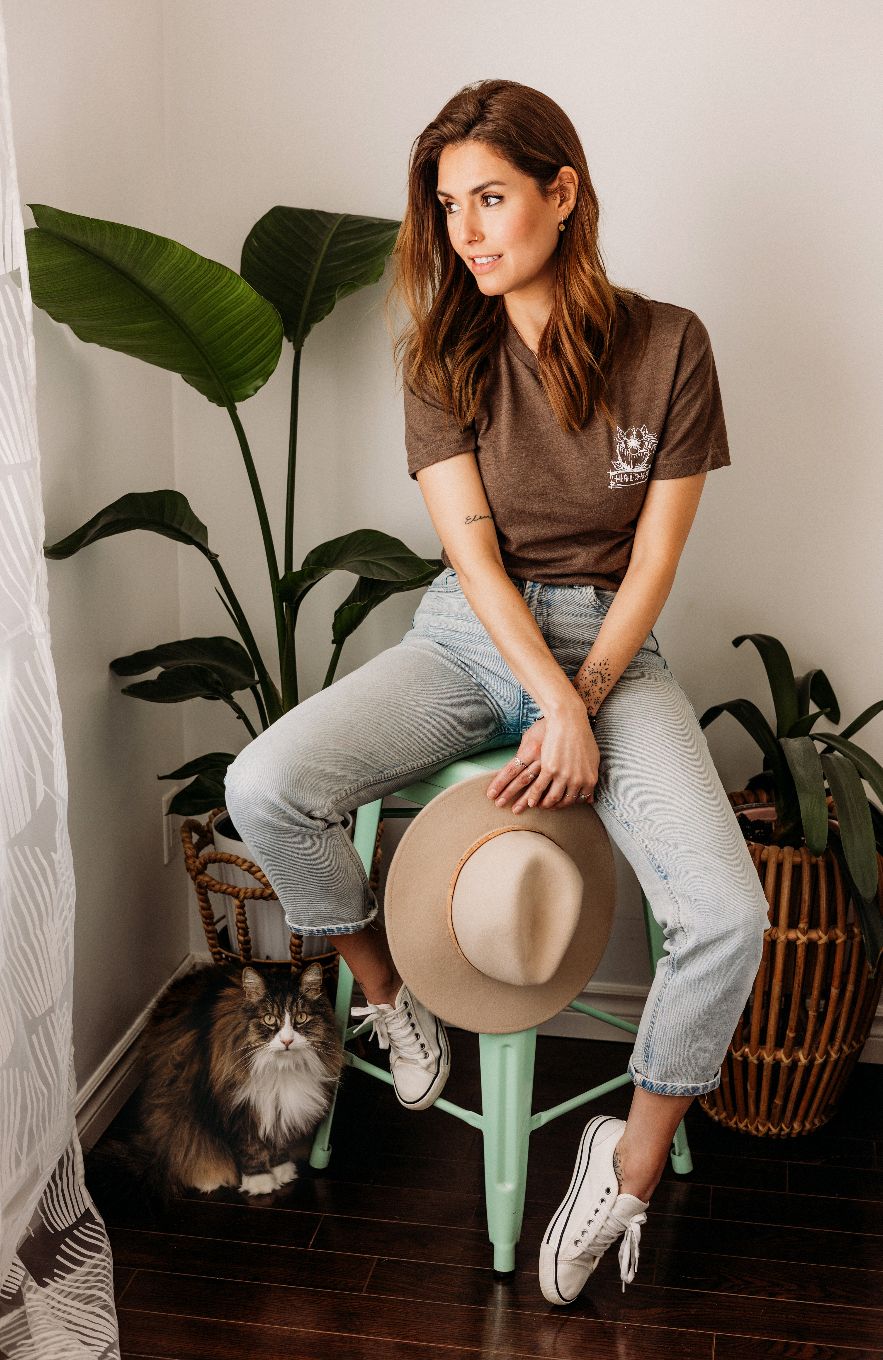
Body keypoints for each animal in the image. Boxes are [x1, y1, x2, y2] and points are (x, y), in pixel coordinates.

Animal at [91, 960, 345, 1207]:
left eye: (301, 1017)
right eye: (269, 1019)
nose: (287, 1041)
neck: (280, 1069)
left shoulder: (276, 1107)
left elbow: (277, 1139)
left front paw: (281, 1170)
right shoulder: (236, 1108)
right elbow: (250, 1147)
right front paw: (260, 1181)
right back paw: (208, 1180)